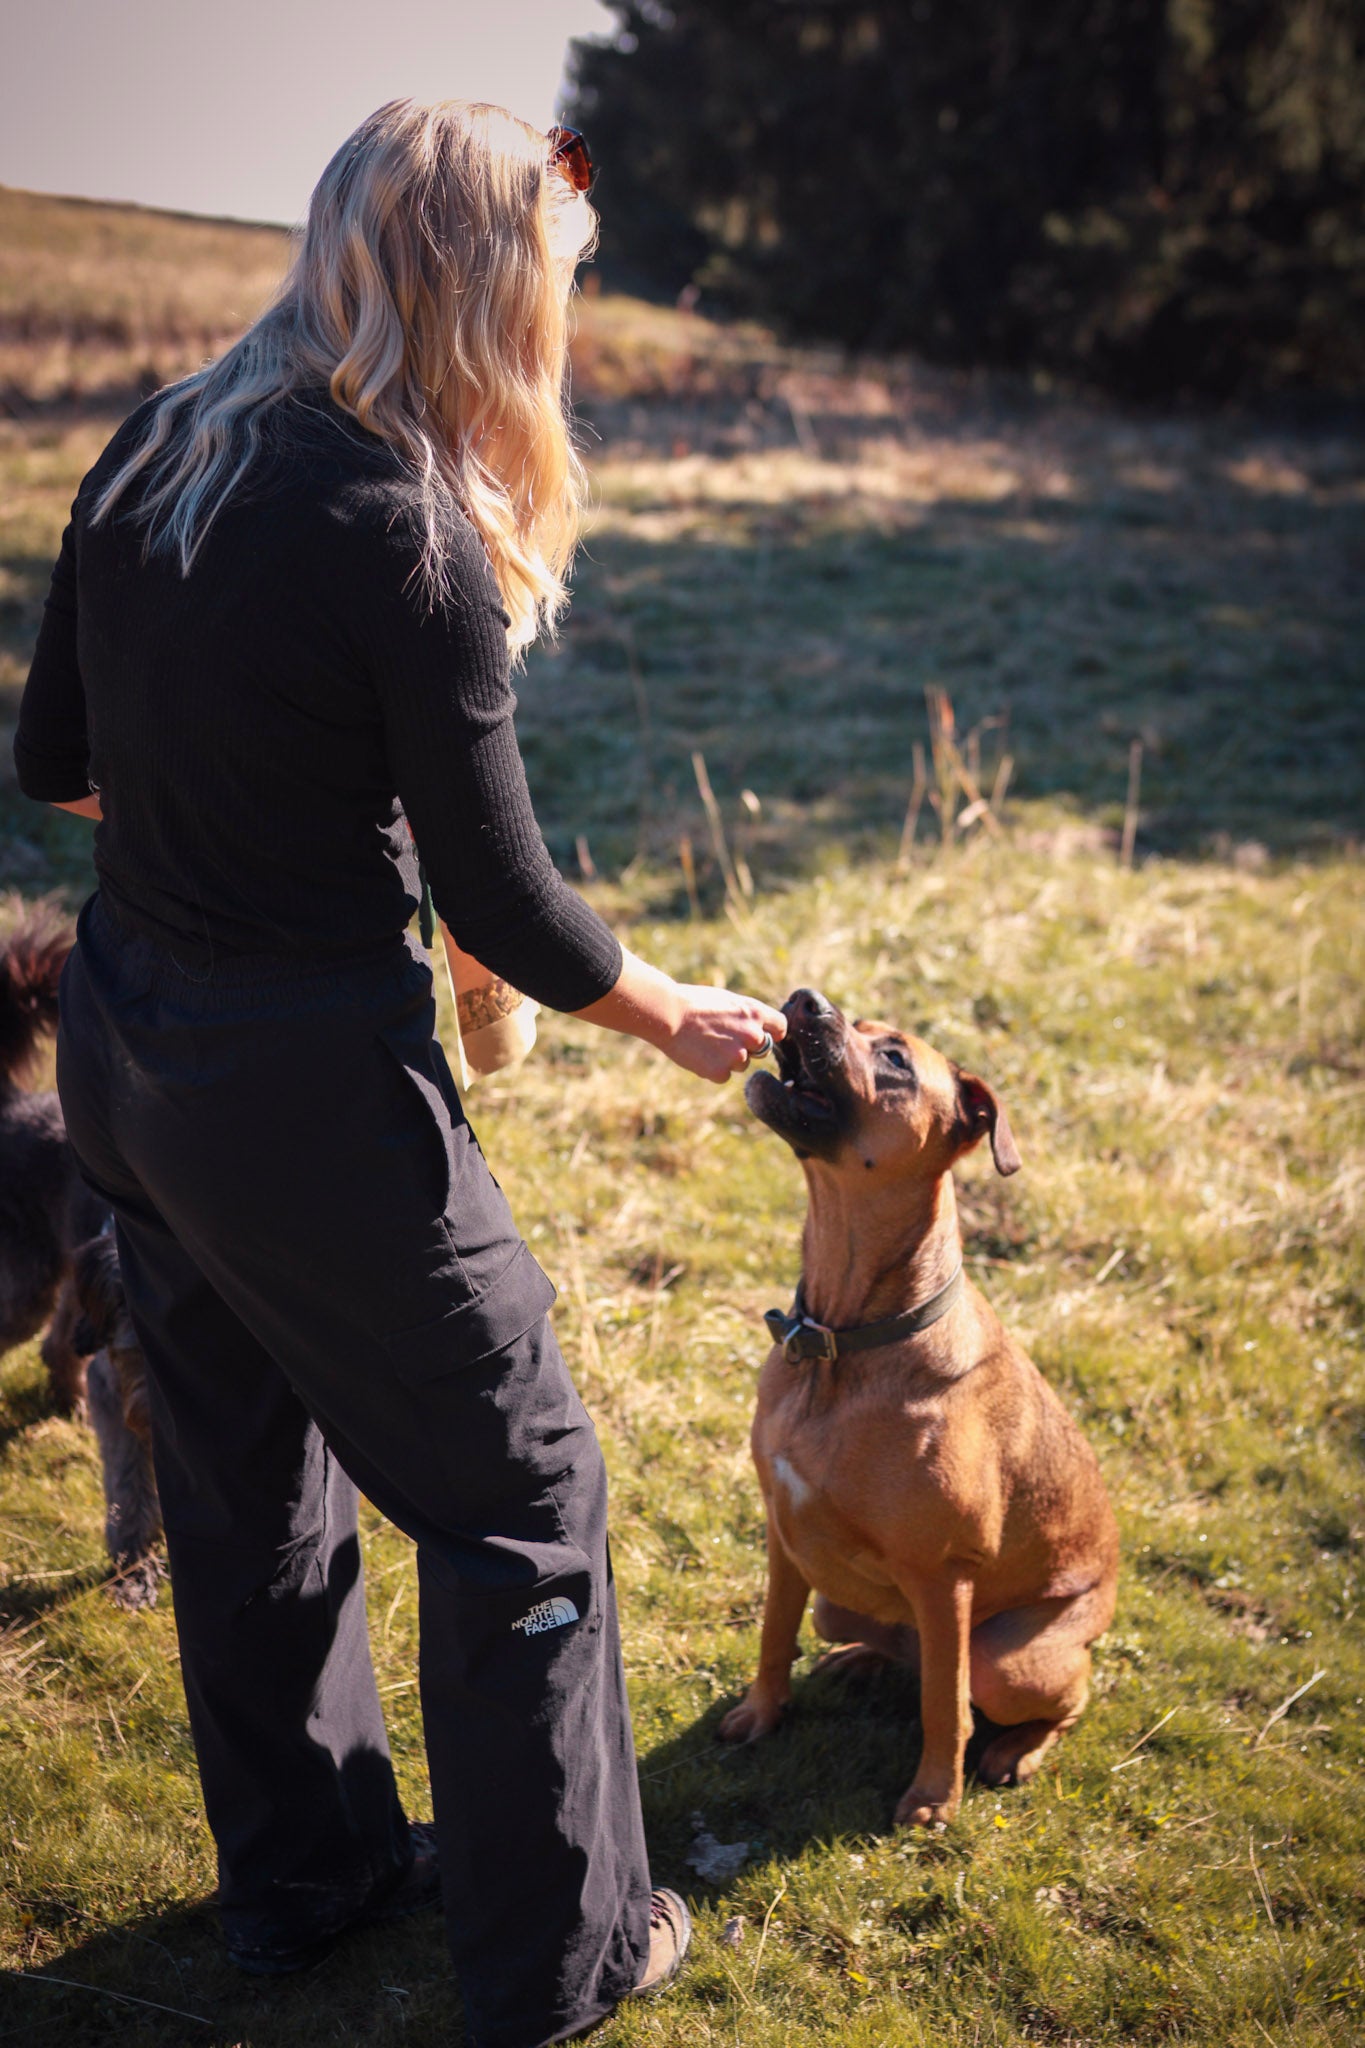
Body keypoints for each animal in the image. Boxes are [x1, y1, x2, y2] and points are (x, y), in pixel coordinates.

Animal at [719, 988, 1118, 1827]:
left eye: (895, 1060)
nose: (804, 998)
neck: (839, 1341)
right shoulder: (783, 1534)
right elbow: (772, 1635)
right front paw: (761, 1713)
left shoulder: (942, 1577)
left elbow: (945, 1706)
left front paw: (935, 1796)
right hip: (839, 1598)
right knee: (898, 1652)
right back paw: (860, 1661)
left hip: (1011, 1656)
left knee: (1045, 1697)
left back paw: (1015, 1751)